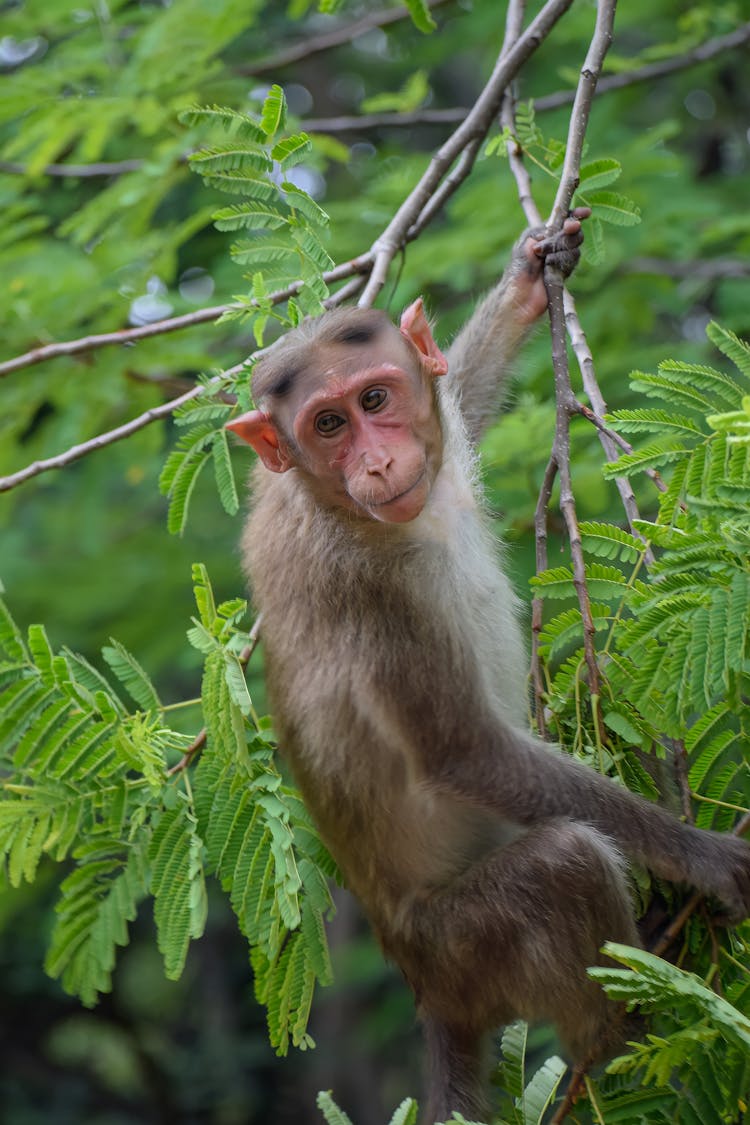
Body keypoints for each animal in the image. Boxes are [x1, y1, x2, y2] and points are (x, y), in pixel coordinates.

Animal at [227, 214, 750, 1120]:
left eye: (373, 401)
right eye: (327, 425)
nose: (375, 464)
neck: (339, 507)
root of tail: (425, 984)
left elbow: (460, 398)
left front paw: (528, 281)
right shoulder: (369, 596)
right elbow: (463, 750)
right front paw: (703, 855)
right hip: (469, 944)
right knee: (562, 860)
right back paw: (628, 1027)